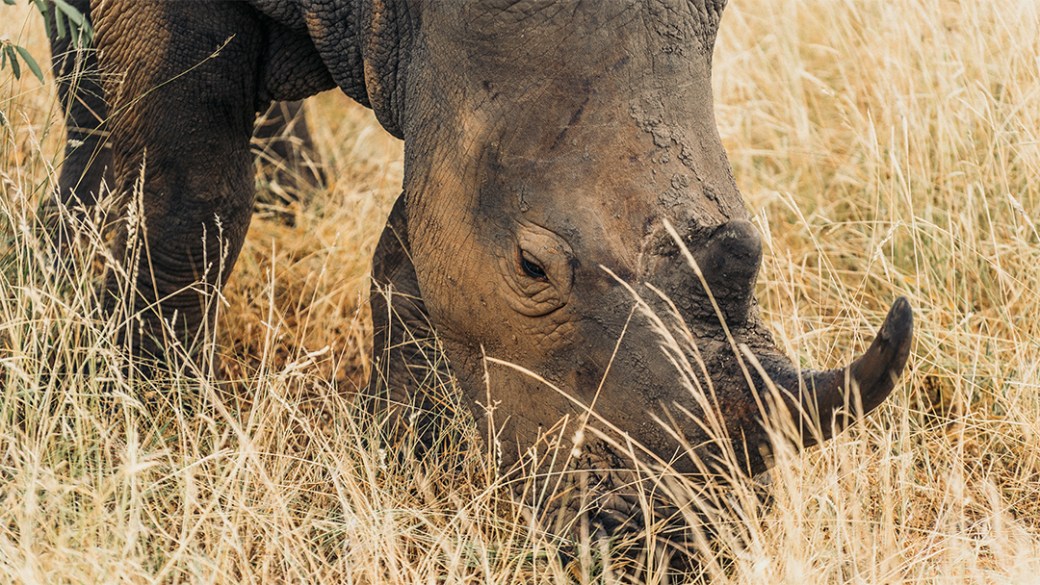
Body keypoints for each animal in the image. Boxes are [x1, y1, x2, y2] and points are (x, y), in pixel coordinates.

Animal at [51, 0, 913, 559]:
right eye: (532, 268)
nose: (672, 546)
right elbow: (189, 195)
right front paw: (147, 419)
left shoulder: (447, 91)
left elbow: (414, 245)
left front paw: (403, 452)